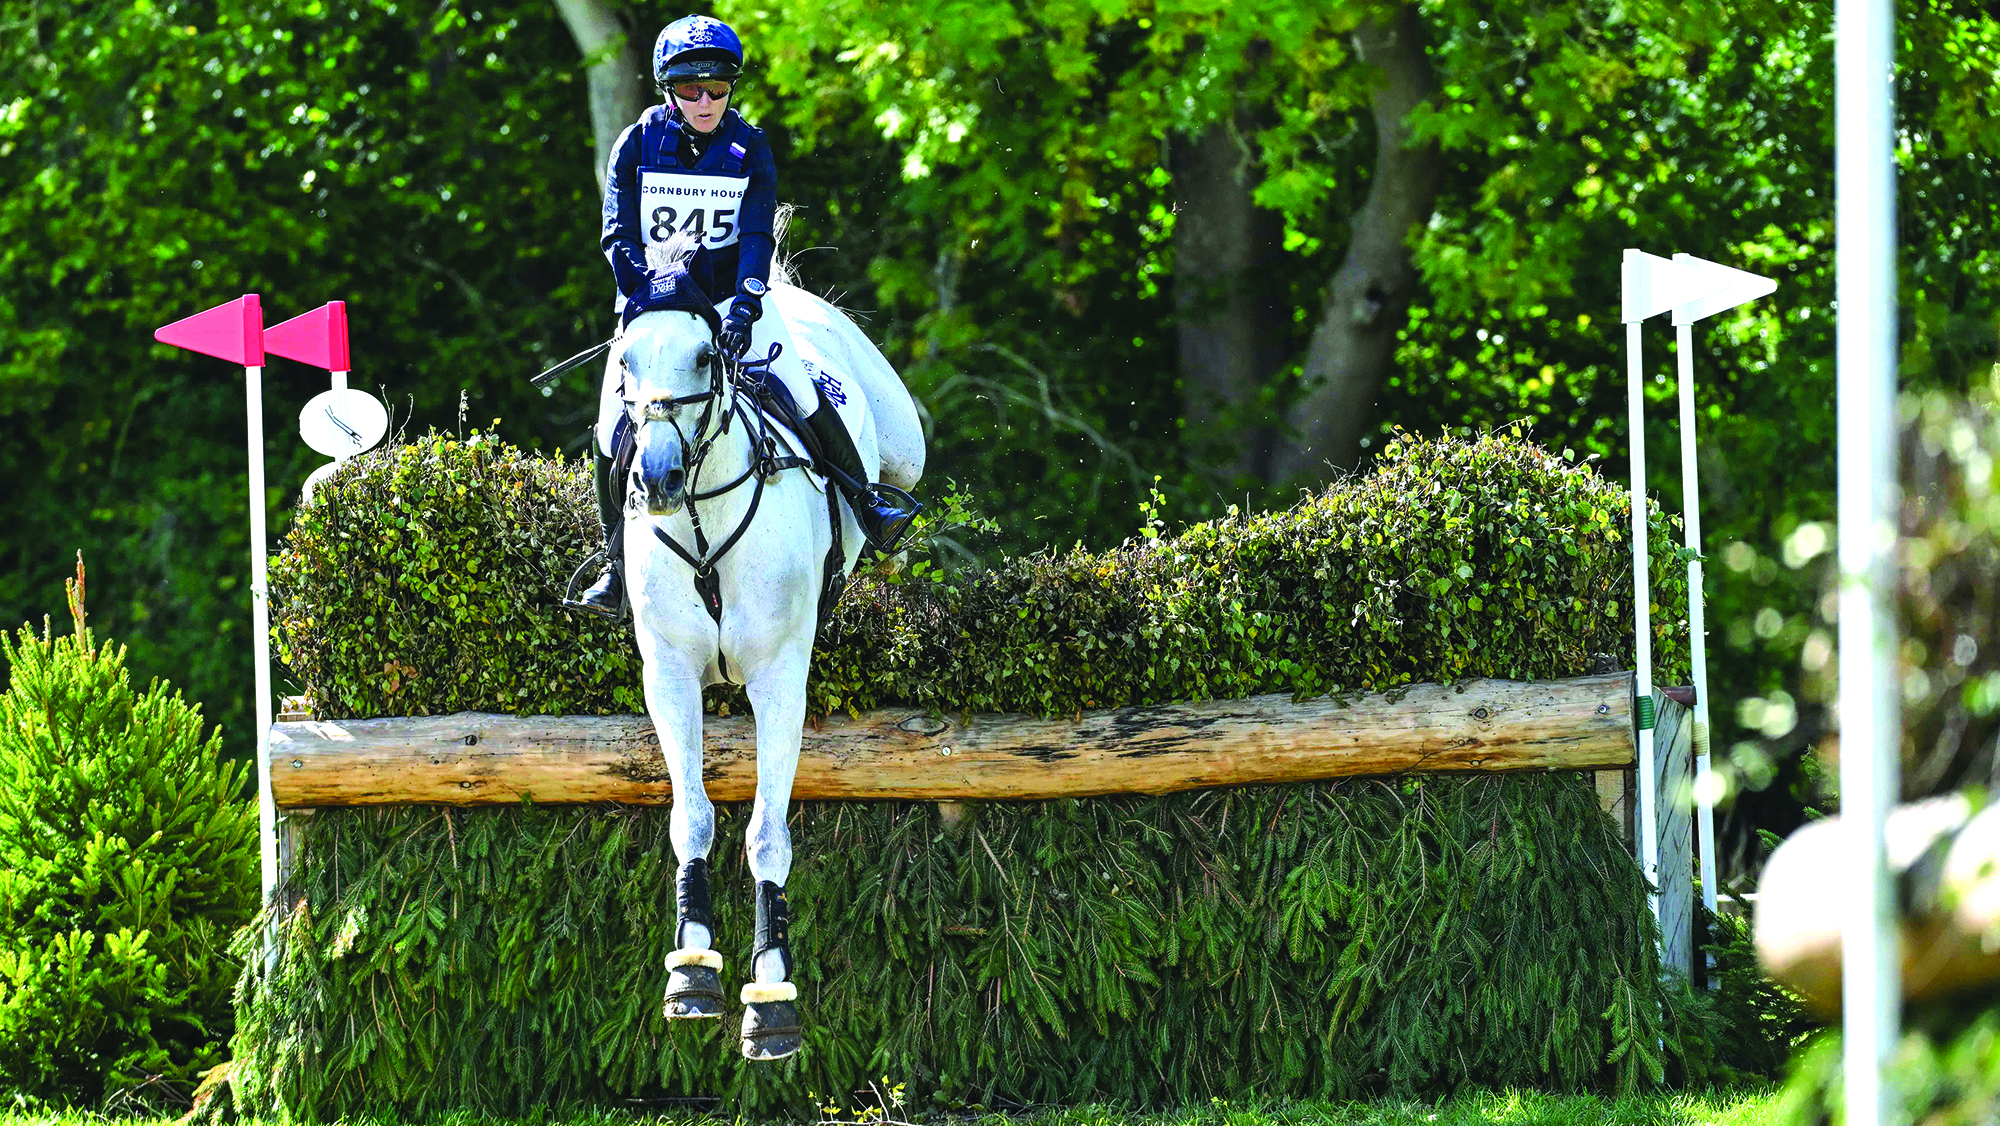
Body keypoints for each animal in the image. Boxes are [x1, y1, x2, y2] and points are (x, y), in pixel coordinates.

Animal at [609, 244, 924, 1062]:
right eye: (626, 359)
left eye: (702, 356)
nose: (657, 479)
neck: (702, 518)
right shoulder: (671, 679)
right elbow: (692, 818)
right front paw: (691, 969)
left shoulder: (780, 681)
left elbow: (766, 834)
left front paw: (772, 994)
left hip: (902, 446)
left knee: (896, 489)